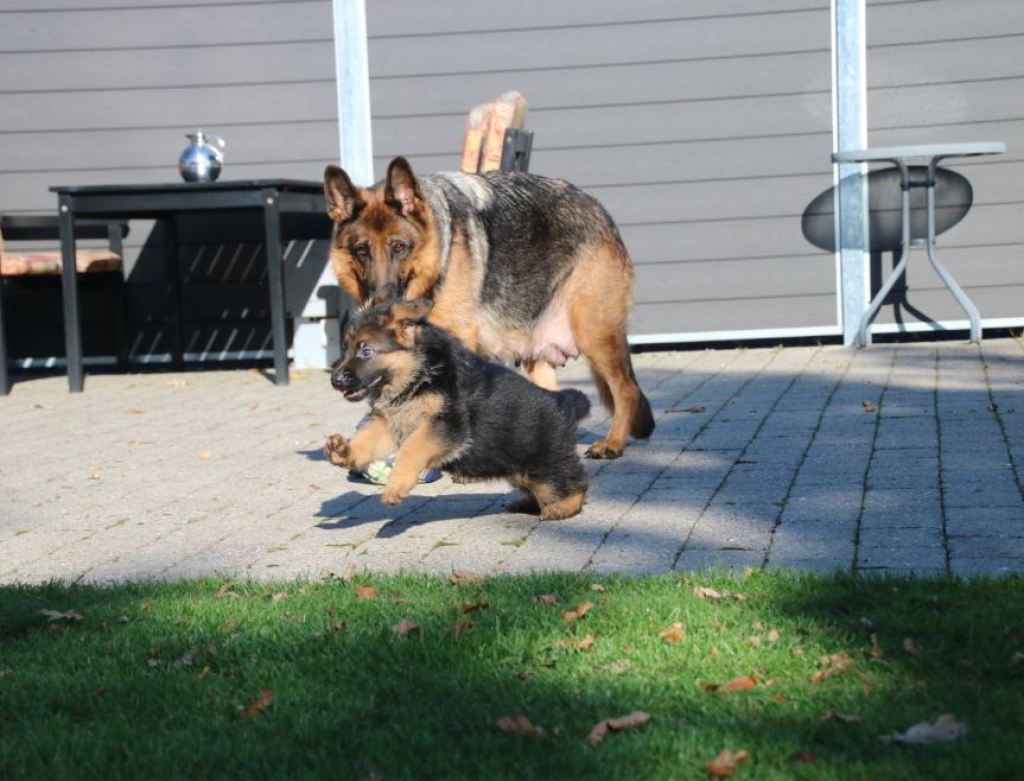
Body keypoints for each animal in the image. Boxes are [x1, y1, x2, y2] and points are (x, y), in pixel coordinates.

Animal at [322, 156, 655, 460]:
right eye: (361, 251)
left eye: (399, 247)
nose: (380, 299)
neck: (437, 260)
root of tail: (602, 213)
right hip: (540, 353)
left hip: (594, 335)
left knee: (627, 390)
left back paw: (612, 443)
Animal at [323, 290, 591, 520]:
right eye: (345, 349)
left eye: (366, 351)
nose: (334, 380)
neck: (418, 375)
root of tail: (563, 403)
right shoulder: (390, 423)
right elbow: (367, 442)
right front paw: (344, 451)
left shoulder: (444, 425)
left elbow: (410, 451)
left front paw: (395, 488)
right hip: (518, 467)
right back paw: (526, 504)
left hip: (544, 463)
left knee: (572, 482)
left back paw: (561, 507)